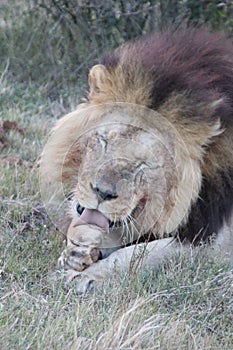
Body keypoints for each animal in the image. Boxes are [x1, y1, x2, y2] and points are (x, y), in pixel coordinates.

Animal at [39, 26, 232, 292]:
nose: (102, 193)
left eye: (145, 164)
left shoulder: (215, 240)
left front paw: (86, 276)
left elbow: (143, 253)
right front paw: (77, 253)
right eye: (104, 140)